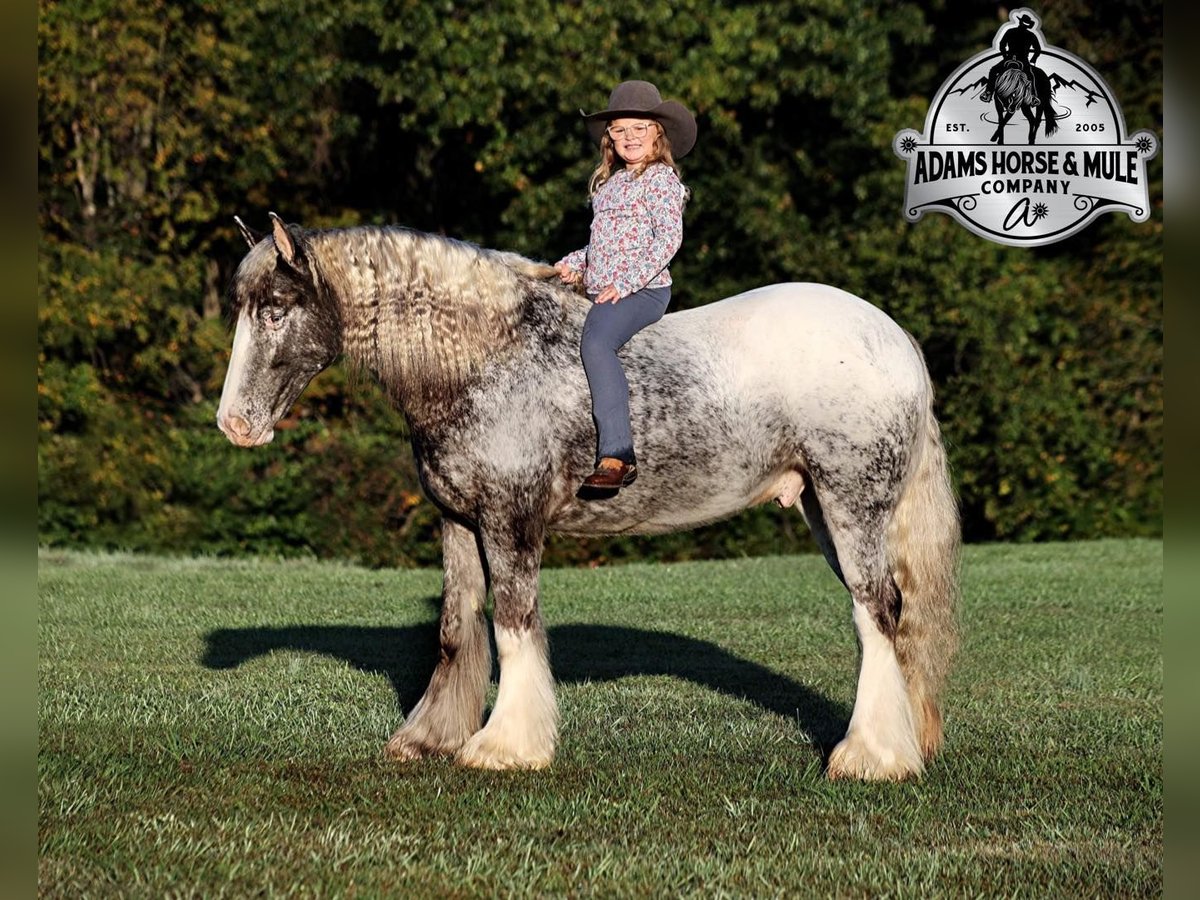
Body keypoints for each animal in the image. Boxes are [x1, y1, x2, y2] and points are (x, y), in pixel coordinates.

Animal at [216, 213, 961, 781]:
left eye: (275, 310)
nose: (234, 424)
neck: (486, 359)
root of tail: (893, 339)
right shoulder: (457, 522)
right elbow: (457, 629)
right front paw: (429, 739)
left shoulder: (510, 521)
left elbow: (514, 624)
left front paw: (505, 746)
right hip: (820, 510)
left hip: (851, 506)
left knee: (877, 612)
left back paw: (871, 757)